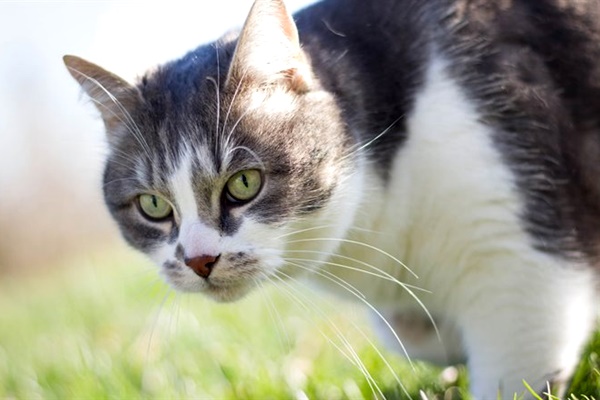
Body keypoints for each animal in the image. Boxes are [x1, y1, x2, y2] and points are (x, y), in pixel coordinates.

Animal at [63, 0, 600, 396]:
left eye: (244, 184)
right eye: (153, 206)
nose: (198, 260)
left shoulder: (514, 260)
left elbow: (514, 367)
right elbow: (415, 334)